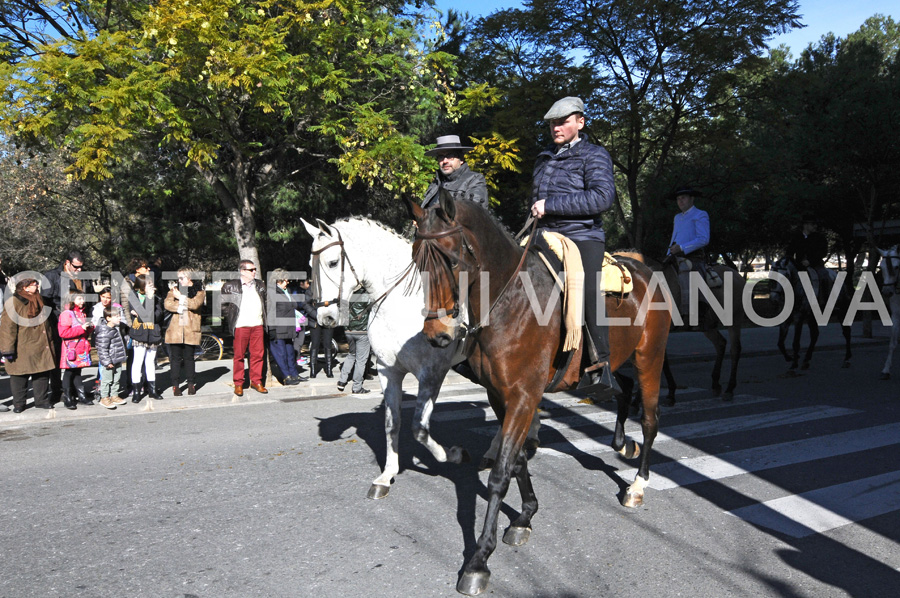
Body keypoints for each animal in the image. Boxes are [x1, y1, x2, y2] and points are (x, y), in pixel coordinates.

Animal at [304, 218, 472, 500]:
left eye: (333, 263)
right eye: (309, 264)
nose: (325, 317)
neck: (402, 299)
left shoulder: (432, 374)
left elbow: (419, 429)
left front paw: (453, 454)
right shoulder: (387, 371)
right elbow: (392, 424)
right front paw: (386, 476)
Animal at [408, 196, 668, 596]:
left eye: (451, 260)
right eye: (415, 260)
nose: (438, 335)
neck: (510, 301)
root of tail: (644, 269)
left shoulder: (523, 396)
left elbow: (501, 472)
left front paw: (479, 559)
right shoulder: (501, 397)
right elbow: (515, 460)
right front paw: (525, 516)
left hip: (649, 359)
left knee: (652, 421)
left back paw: (637, 486)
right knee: (622, 390)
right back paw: (623, 443)